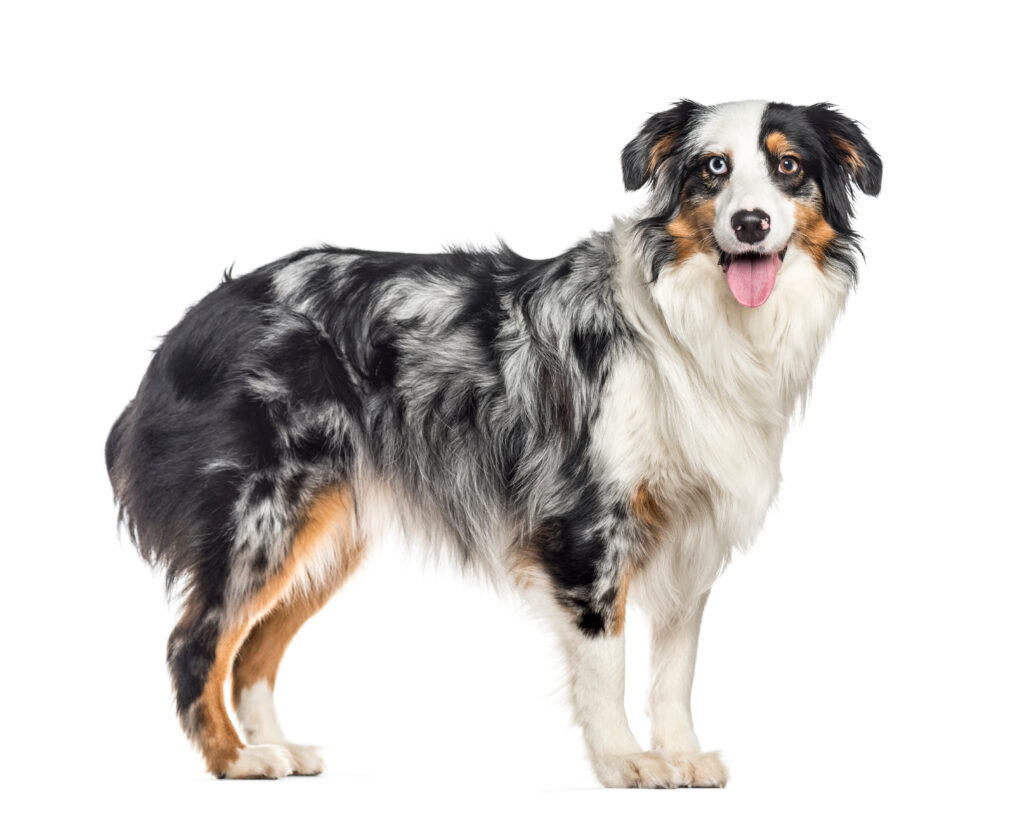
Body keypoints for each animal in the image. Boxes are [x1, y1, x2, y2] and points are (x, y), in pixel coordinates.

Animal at [110, 100, 880, 786]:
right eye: (713, 168)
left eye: (788, 166)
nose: (750, 224)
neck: (699, 325)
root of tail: (194, 320)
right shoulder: (586, 527)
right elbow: (607, 661)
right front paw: (625, 761)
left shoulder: (694, 530)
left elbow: (675, 668)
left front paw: (682, 755)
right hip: (262, 513)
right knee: (197, 642)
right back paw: (235, 760)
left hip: (326, 528)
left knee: (251, 651)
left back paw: (275, 749)